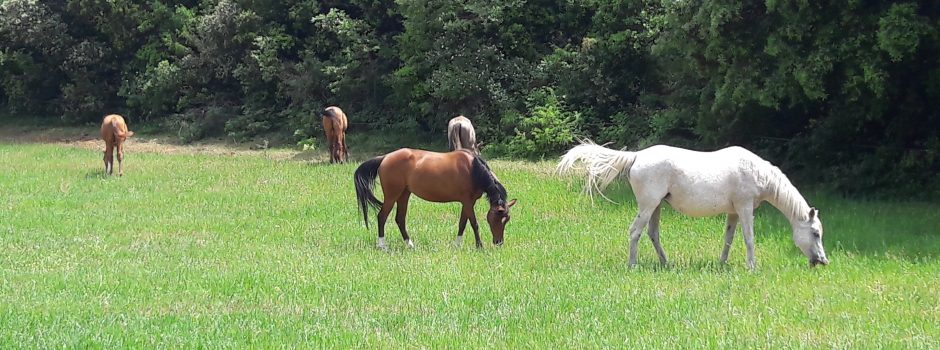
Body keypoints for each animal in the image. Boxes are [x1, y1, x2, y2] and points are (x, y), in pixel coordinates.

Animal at [354, 149, 516, 250]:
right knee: (382, 217)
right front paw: (479, 246)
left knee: (400, 219)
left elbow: (462, 224)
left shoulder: (467, 202)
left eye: (507, 220)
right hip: (392, 195)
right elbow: (474, 224)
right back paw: (382, 245)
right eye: (498, 219)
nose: (498, 242)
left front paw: (457, 245)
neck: (473, 169)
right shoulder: (468, 202)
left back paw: (410, 244)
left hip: (404, 194)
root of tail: (384, 158)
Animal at [560, 141, 828, 270]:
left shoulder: (733, 212)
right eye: (815, 233)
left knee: (652, 234)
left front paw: (722, 263)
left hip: (656, 207)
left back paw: (666, 263)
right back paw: (632, 265)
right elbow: (749, 238)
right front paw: (752, 267)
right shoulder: (744, 208)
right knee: (635, 232)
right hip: (648, 206)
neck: (757, 172)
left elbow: (729, 238)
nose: (822, 261)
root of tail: (637, 156)